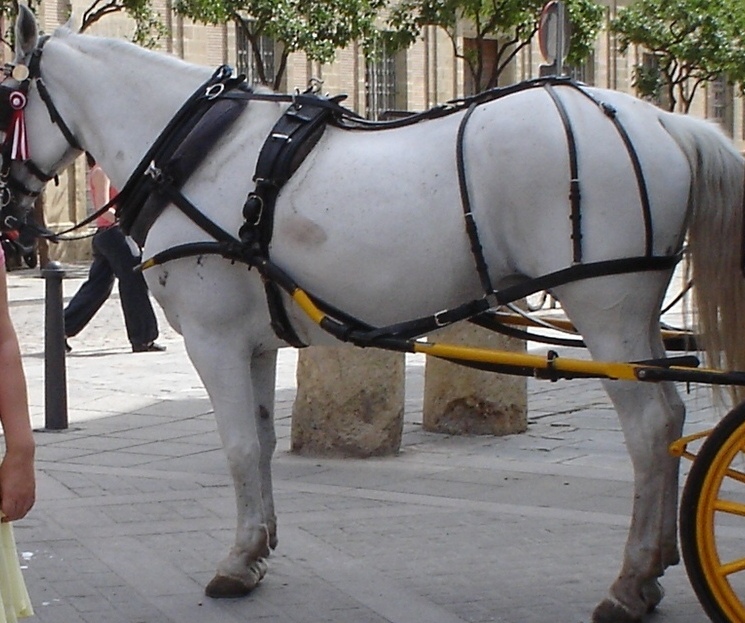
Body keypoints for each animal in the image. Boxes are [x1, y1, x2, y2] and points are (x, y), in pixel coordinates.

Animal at [5, 6, 744, 623]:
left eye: (7, 99)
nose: (12, 217)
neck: (195, 150)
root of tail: (661, 120)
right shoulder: (254, 340)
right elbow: (261, 443)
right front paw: (258, 546)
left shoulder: (214, 340)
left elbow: (237, 446)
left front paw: (235, 563)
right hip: (635, 314)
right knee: (671, 415)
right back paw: (654, 566)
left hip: (605, 306)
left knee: (650, 429)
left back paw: (629, 581)